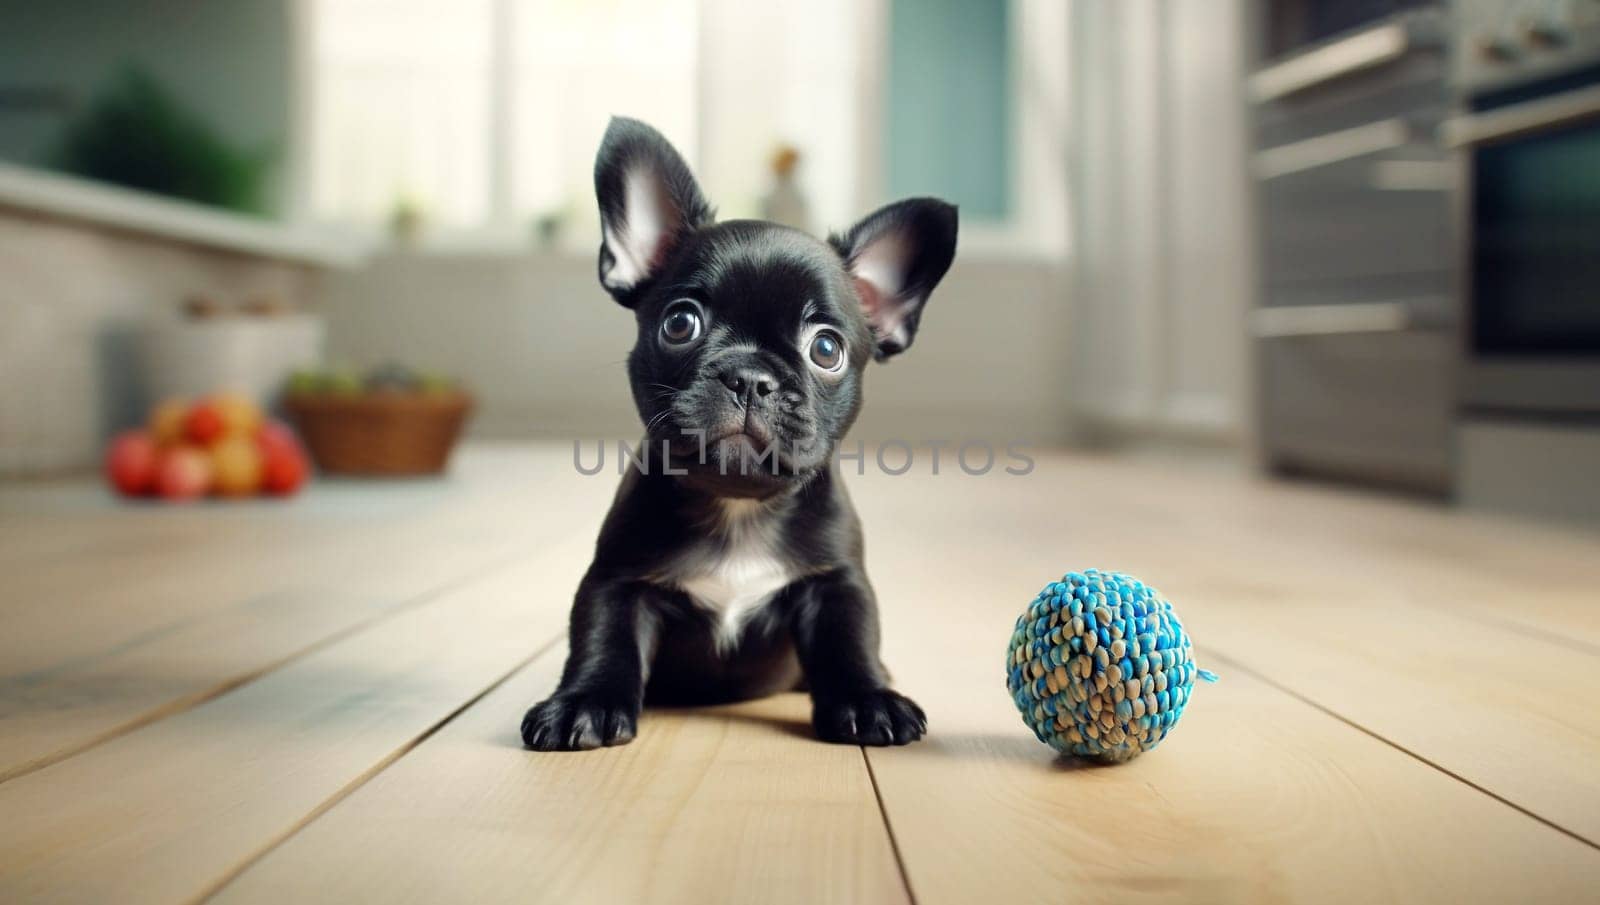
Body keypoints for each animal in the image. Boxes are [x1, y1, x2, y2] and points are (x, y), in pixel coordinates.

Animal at [518, 119, 953, 751]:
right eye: (680, 323)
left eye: (827, 349)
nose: (751, 378)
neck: (737, 505)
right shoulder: (617, 581)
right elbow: (602, 638)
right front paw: (583, 703)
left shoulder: (836, 583)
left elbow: (851, 639)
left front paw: (869, 699)